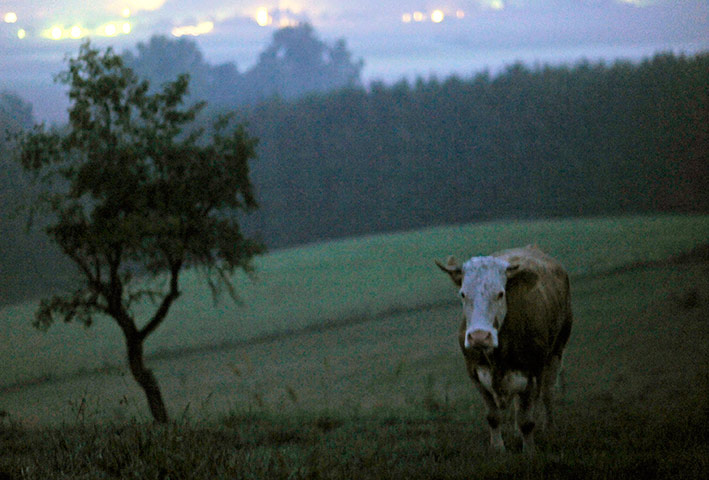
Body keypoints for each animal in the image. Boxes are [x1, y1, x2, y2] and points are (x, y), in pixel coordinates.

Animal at [436, 245, 572, 453]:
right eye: (463, 294)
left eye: (500, 293)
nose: (479, 336)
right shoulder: (475, 374)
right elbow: (493, 417)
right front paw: (498, 449)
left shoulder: (532, 373)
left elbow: (527, 420)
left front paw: (529, 452)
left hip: (557, 351)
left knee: (548, 393)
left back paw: (549, 428)